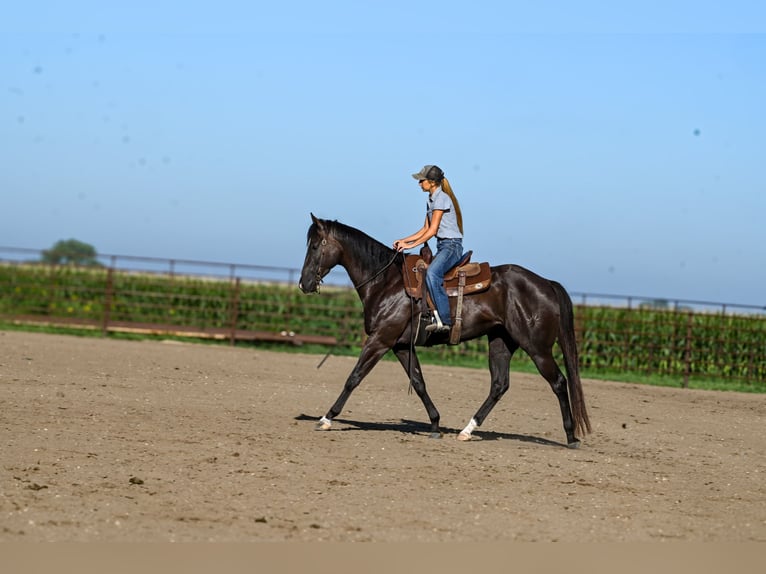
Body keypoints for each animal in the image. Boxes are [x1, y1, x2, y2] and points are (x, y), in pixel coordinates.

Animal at [299, 214, 591, 447]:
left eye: (314, 245)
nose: (304, 284)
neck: (386, 282)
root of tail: (546, 283)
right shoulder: (400, 345)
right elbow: (418, 382)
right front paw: (435, 424)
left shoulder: (380, 340)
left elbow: (354, 377)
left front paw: (326, 418)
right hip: (501, 341)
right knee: (499, 385)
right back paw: (467, 430)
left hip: (537, 348)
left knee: (558, 382)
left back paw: (571, 437)